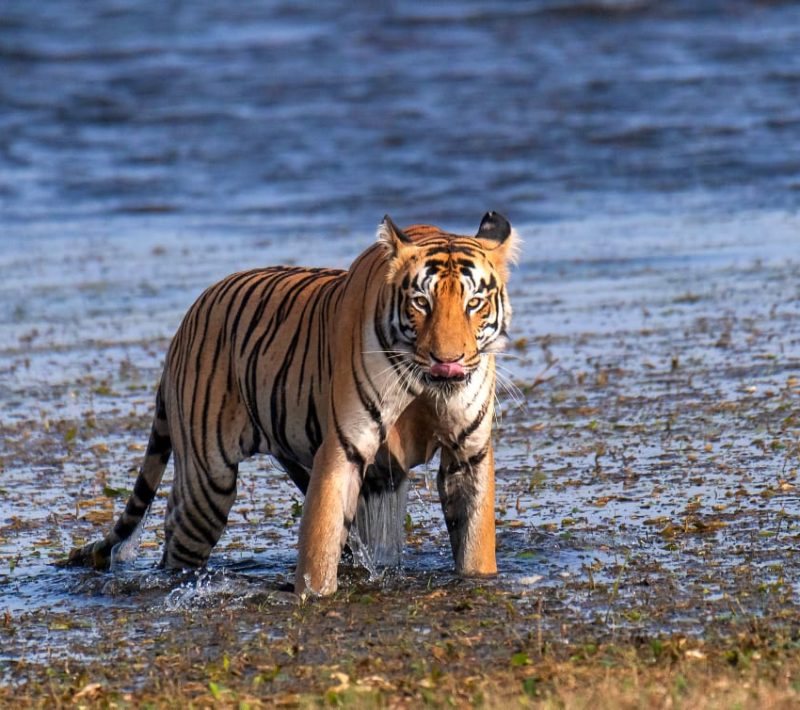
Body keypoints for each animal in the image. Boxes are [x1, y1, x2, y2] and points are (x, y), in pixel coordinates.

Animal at [67, 212, 518, 597]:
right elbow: (319, 542)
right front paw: (313, 596)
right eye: (421, 302)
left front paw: (479, 580)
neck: (426, 387)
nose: (448, 361)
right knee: (178, 542)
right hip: (207, 483)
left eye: (474, 303)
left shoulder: (469, 452)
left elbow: (475, 538)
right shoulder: (344, 447)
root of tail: (184, 323)